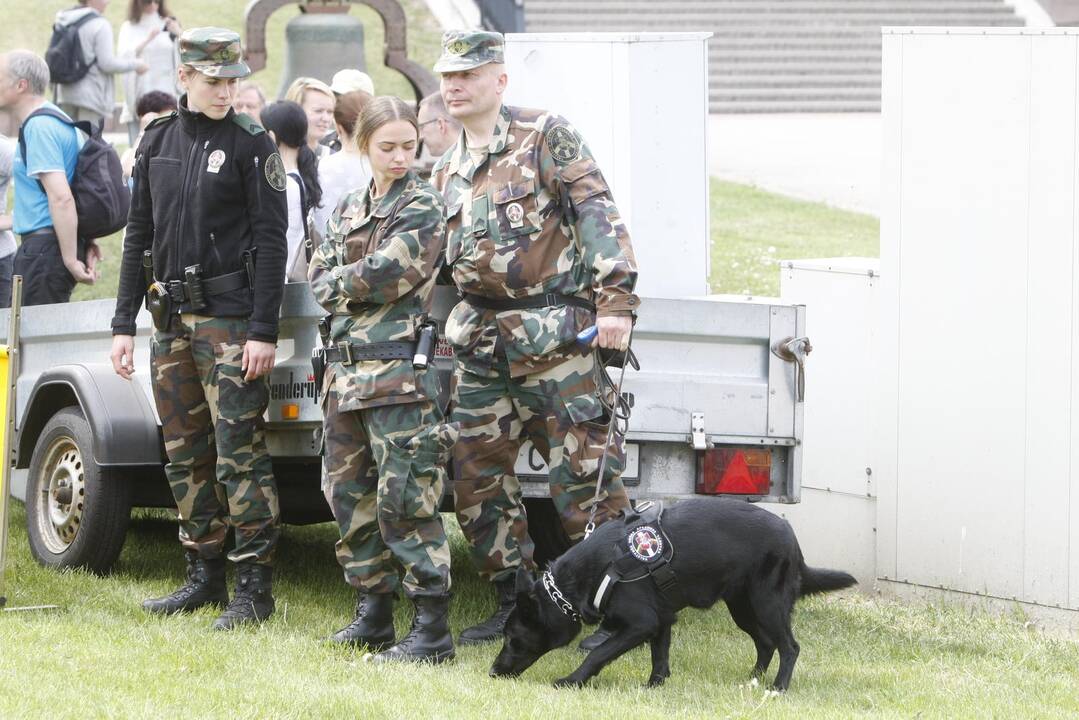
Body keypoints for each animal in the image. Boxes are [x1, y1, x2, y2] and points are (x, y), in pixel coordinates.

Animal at [494, 498, 854, 690]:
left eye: (512, 637)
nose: (492, 672)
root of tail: (792, 536)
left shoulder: (642, 623)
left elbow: (598, 655)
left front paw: (572, 680)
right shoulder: (662, 620)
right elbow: (660, 656)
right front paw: (654, 686)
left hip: (767, 604)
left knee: (790, 646)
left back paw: (778, 688)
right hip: (743, 607)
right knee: (766, 643)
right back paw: (752, 679)